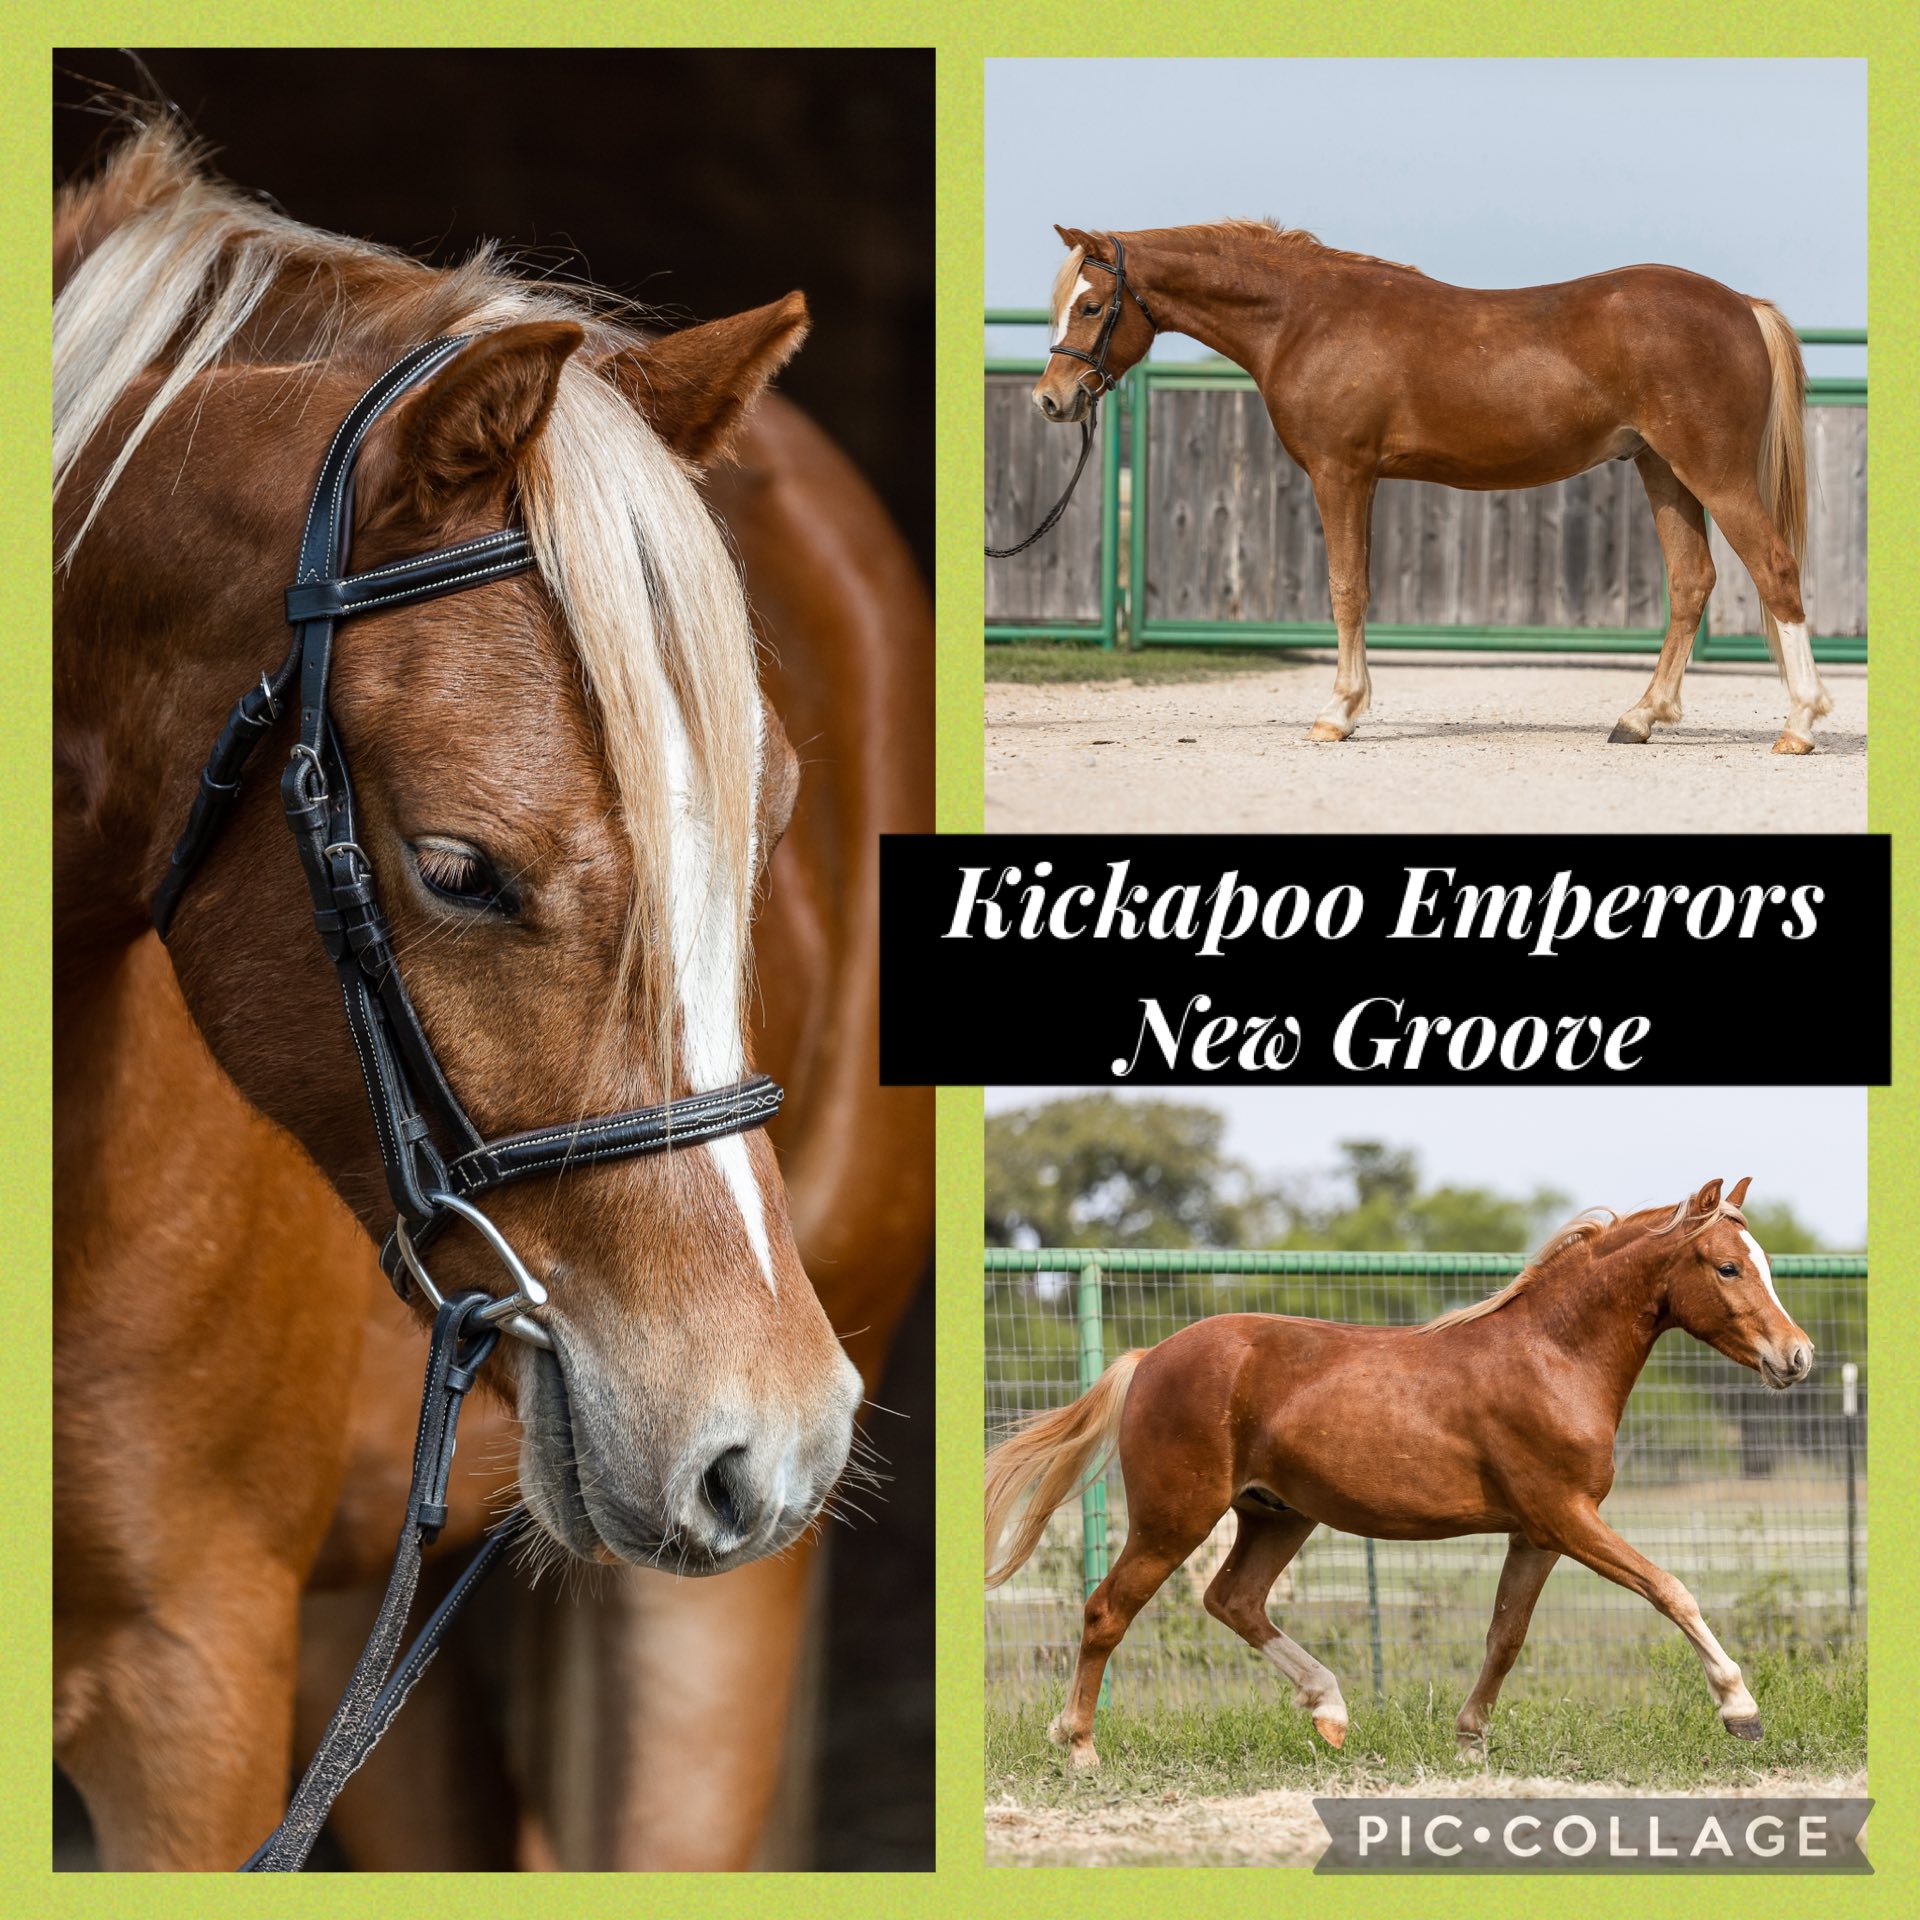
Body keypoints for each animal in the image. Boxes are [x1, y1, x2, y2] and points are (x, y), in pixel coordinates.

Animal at [985, 1178, 1814, 1769]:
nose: (1797, 1357)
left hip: (1277, 1514)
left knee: (1233, 1599)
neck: (1554, 1357)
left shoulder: (1537, 1534)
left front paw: (1469, 1740)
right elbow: (1670, 1590)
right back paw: (1080, 1748)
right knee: (1108, 1611)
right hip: (1174, 1516)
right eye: (1728, 1267)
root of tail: (1149, 1357)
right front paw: (1741, 1710)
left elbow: (1505, 1635)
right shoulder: (1567, 1516)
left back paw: (1330, 1711)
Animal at [1033, 222, 1832, 754]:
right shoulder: (1358, 477)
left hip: (1714, 472)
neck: (1304, 318)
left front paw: (1338, 713)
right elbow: (1356, 587)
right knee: (1692, 582)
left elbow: (1346, 589)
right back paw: (1640, 718)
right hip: (1664, 472)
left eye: (1093, 306)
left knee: (1775, 571)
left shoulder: (1342, 472)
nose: (1052, 399)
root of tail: (1742, 305)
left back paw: (1798, 723)